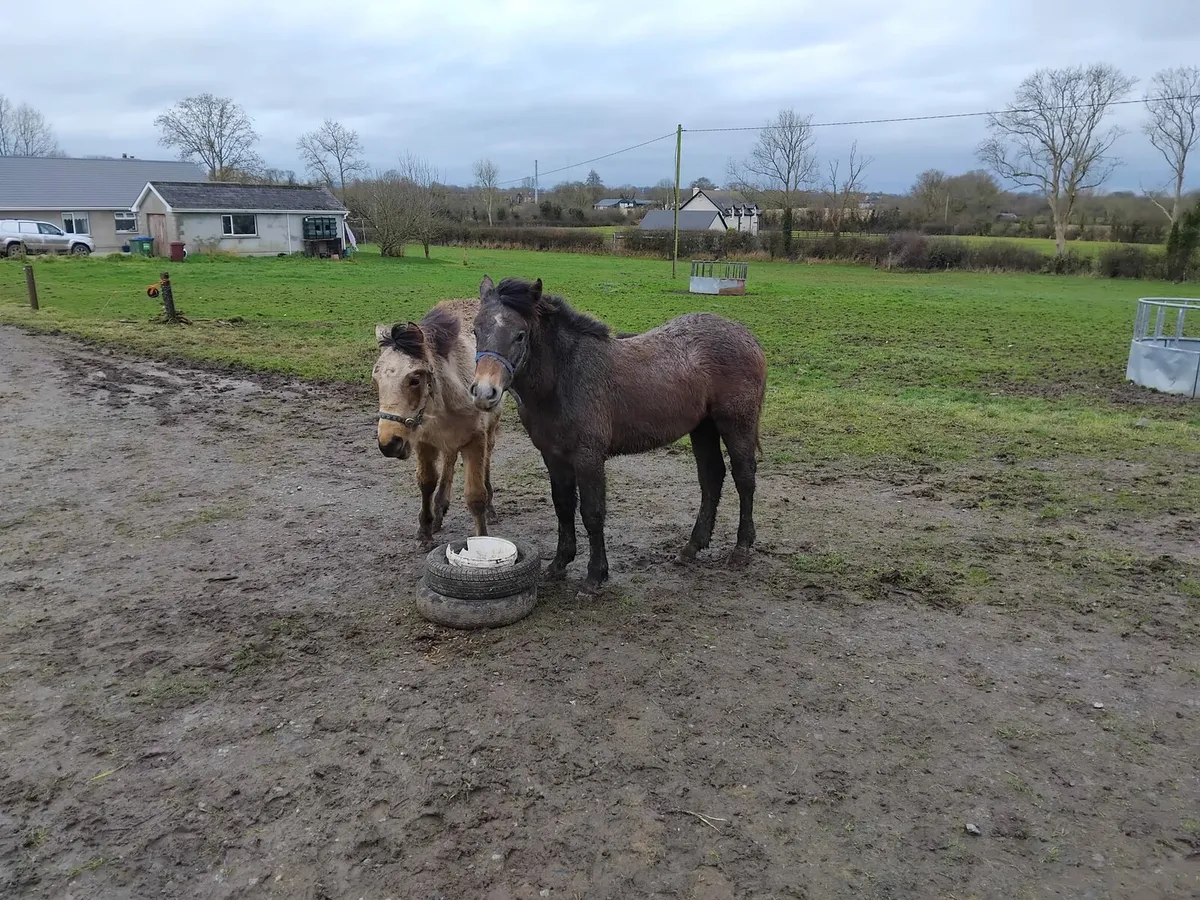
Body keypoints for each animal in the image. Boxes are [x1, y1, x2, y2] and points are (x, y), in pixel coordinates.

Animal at [373, 298, 501, 542]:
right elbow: (427, 482)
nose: (389, 444)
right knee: (449, 459)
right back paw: (440, 509)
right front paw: (425, 530)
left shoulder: (475, 440)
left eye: (415, 379)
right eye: (375, 380)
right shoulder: (424, 441)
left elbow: (475, 496)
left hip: (491, 425)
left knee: (488, 457)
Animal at [469, 275, 767, 595]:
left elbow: (592, 512)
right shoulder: (553, 456)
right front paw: (559, 564)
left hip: (736, 424)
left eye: (520, 335)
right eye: (475, 330)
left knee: (744, 478)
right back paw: (692, 547)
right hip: (703, 427)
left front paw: (594, 576)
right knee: (711, 477)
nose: (484, 392)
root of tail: (747, 336)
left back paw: (741, 548)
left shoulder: (588, 457)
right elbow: (563, 507)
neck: (563, 377)